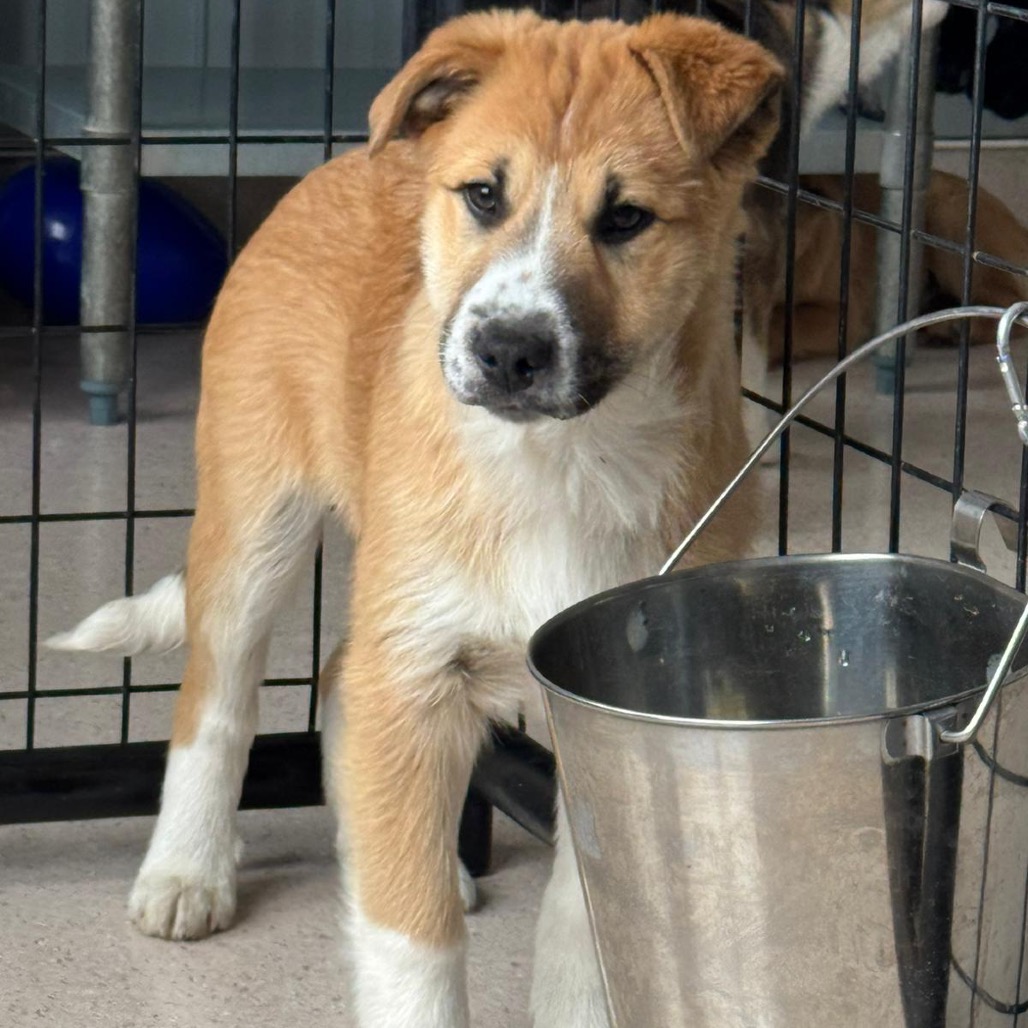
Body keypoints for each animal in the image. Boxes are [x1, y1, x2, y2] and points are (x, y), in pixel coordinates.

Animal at [49, 11, 782, 1026]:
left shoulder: (603, 709)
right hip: (257, 524)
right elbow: (413, 947)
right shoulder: (416, 666)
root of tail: (341, 162)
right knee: (217, 701)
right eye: (483, 195)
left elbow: (588, 920)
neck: (563, 463)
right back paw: (188, 872)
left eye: (626, 218)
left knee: (337, 675)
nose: (508, 350)